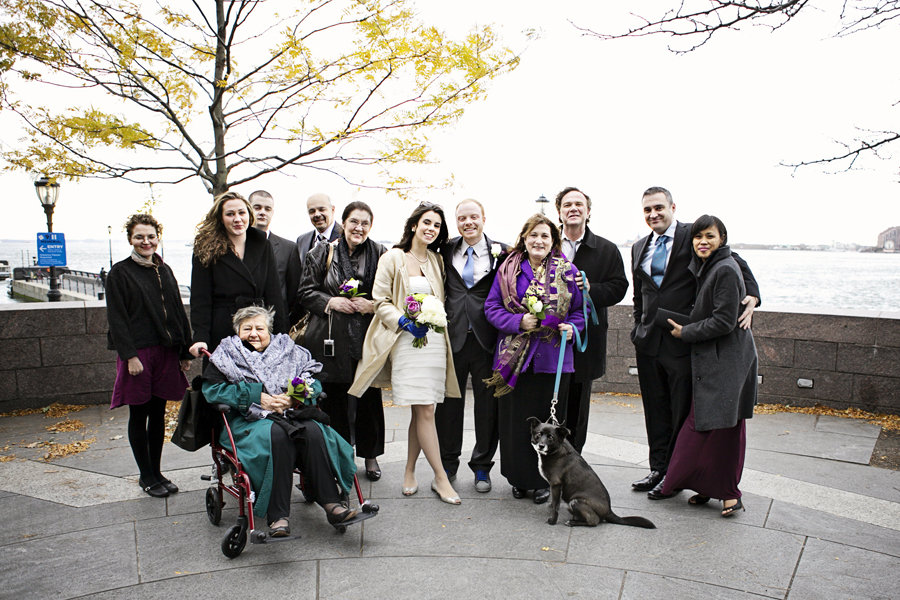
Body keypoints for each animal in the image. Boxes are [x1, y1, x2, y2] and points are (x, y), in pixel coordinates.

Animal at [524, 418, 656, 528]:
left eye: (550, 437)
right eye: (538, 434)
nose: (541, 446)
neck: (556, 451)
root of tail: (609, 511)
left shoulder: (556, 484)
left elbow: (556, 506)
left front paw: (552, 520)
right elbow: (555, 502)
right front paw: (551, 506)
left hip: (576, 501)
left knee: (594, 521)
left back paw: (573, 522)